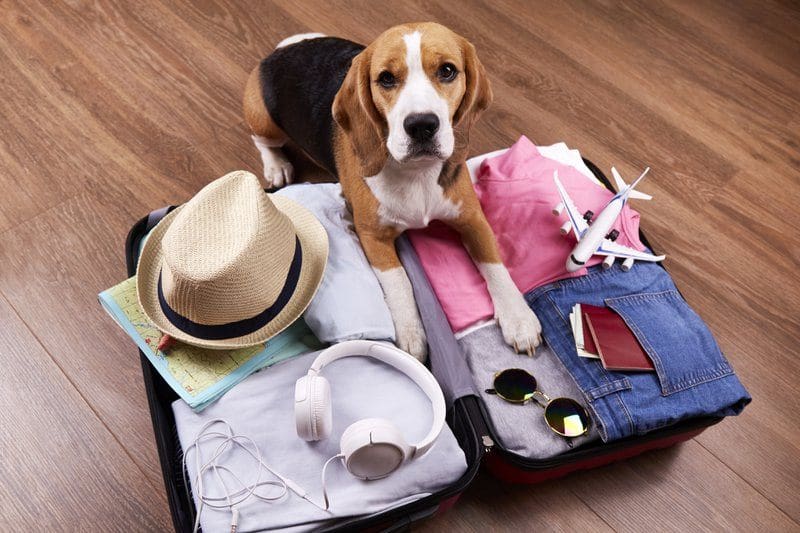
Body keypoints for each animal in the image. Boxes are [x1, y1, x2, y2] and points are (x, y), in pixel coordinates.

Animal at [242, 22, 544, 360]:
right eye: (386, 78)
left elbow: (494, 264)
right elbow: (400, 282)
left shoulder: (472, 218)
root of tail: (283, 51)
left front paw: (518, 318)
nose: (422, 125)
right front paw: (412, 335)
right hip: (263, 119)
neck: (417, 173)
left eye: (447, 71)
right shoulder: (373, 236)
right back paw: (276, 165)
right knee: (262, 141)